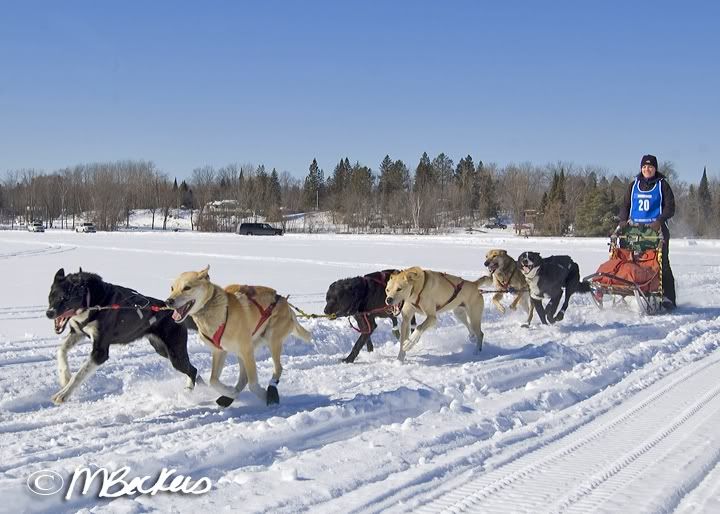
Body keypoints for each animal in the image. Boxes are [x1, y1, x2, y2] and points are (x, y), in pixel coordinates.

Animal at [45, 268, 197, 404]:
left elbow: (79, 374)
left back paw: (191, 391)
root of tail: (175, 312)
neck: (92, 302)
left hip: (175, 355)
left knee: (193, 370)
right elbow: (61, 350)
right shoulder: (78, 332)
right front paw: (64, 377)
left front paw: (63, 395)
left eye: (65, 298)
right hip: (162, 350)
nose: (49, 313)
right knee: (192, 370)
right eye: (51, 296)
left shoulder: (100, 353)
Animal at [167, 266, 310, 406]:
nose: (168, 301)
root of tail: (284, 301)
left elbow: (253, 385)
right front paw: (230, 392)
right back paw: (229, 397)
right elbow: (213, 380)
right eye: (172, 288)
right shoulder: (220, 351)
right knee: (244, 377)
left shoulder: (246, 350)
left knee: (277, 369)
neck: (215, 310)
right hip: (243, 351)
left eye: (187, 287)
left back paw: (271, 391)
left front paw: (262, 395)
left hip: (270, 340)